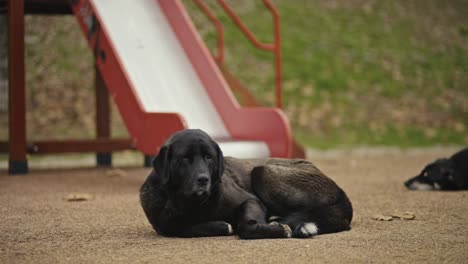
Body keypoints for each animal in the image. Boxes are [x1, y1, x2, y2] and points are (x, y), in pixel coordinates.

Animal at [139, 129, 352, 238]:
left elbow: (245, 226)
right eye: (185, 158)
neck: (193, 204)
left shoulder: (251, 201)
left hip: (262, 172)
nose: (203, 179)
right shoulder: (163, 224)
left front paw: (276, 229)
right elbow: (179, 228)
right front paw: (220, 226)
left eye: (209, 157)